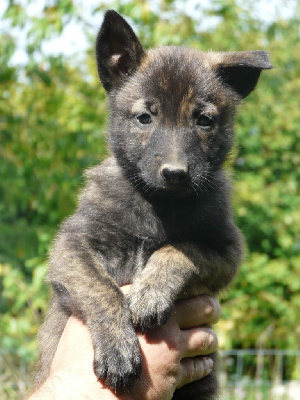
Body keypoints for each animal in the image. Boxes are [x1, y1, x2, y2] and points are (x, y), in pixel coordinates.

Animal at [34, 10, 272, 400]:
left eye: (204, 120)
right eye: (145, 117)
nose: (175, 173)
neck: (158, 205)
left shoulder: (226, 251)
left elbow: (178, 250)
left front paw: (150, 293)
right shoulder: (71, 245)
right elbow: (101, 288)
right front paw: (118, 349)